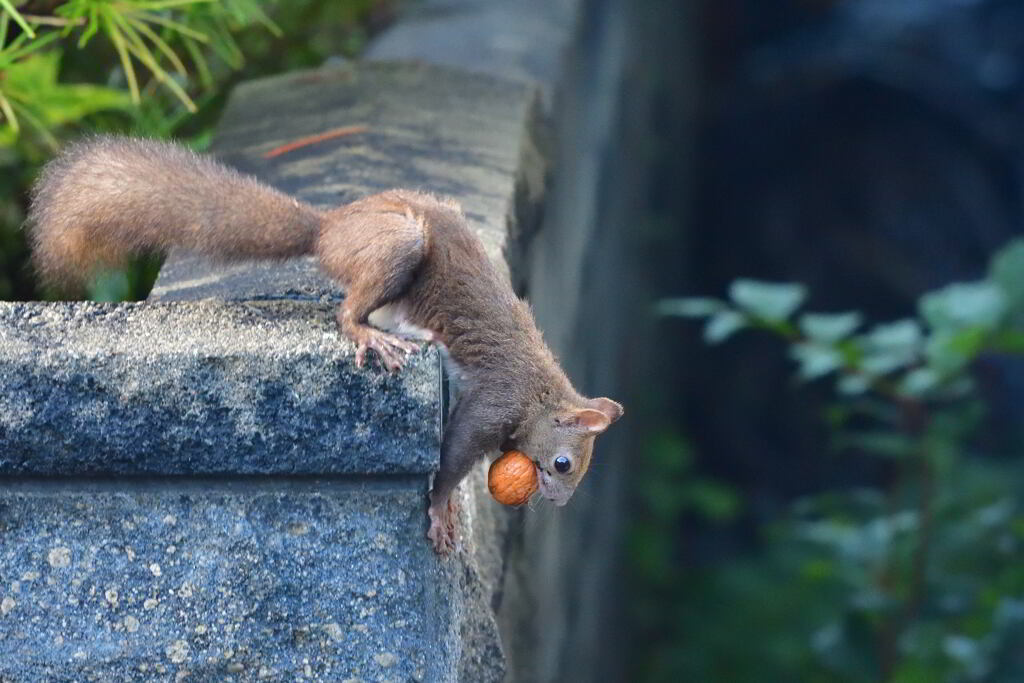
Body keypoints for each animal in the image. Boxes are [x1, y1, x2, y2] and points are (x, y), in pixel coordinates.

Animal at [28, 137, 622, 557]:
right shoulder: (496, 398)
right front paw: (439, 510)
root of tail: (329, 229)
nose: (557, 502)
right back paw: (372, 336)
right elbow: (454, 453)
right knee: (347, 312)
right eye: (564, 463)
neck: (541, 393)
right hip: (397, 245)